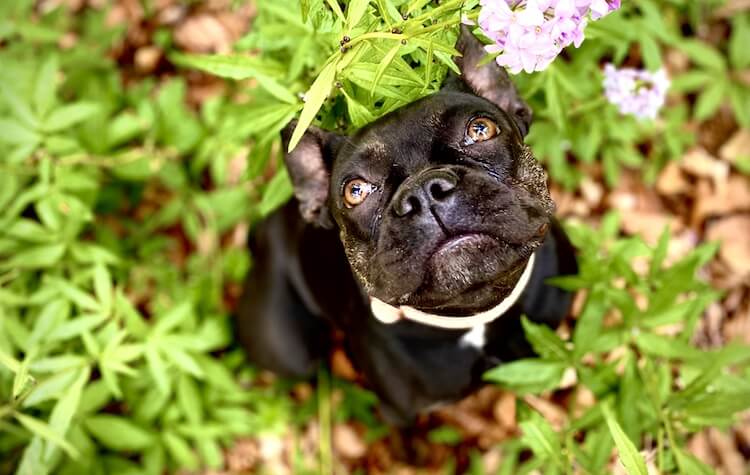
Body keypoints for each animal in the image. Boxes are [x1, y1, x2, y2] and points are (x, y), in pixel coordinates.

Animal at [238, 26, 580, 426]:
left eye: (481, 129)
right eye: (355, 191)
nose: (424, 191)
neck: (474, 317)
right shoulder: (400, 415)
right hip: (291, 350)